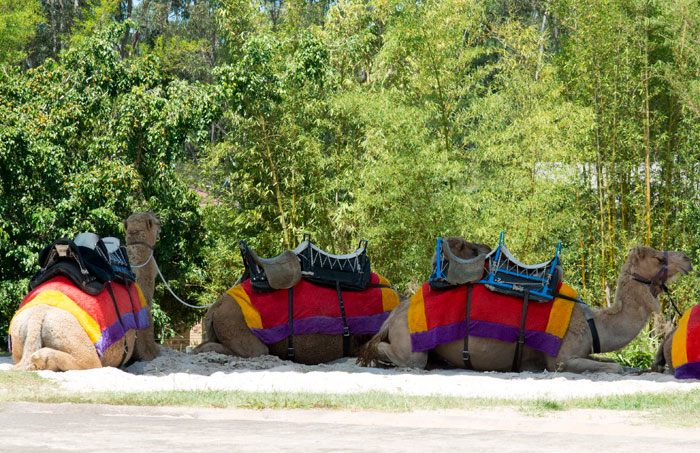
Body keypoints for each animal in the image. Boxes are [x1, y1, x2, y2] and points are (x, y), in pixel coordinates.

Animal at [10, 212, 161, 371]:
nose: (159, 219)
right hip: (77, 340)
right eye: (155, 221)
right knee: (88, 362)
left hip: (18, 338)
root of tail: (37, 318)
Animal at [357, 245, 692, 374]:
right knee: (396, 354)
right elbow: (614, 367)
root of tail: (397, 312)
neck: (593, 322)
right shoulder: (561, 359)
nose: (688, 258)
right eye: (658, 258)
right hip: (410, 341)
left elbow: (608, 361)